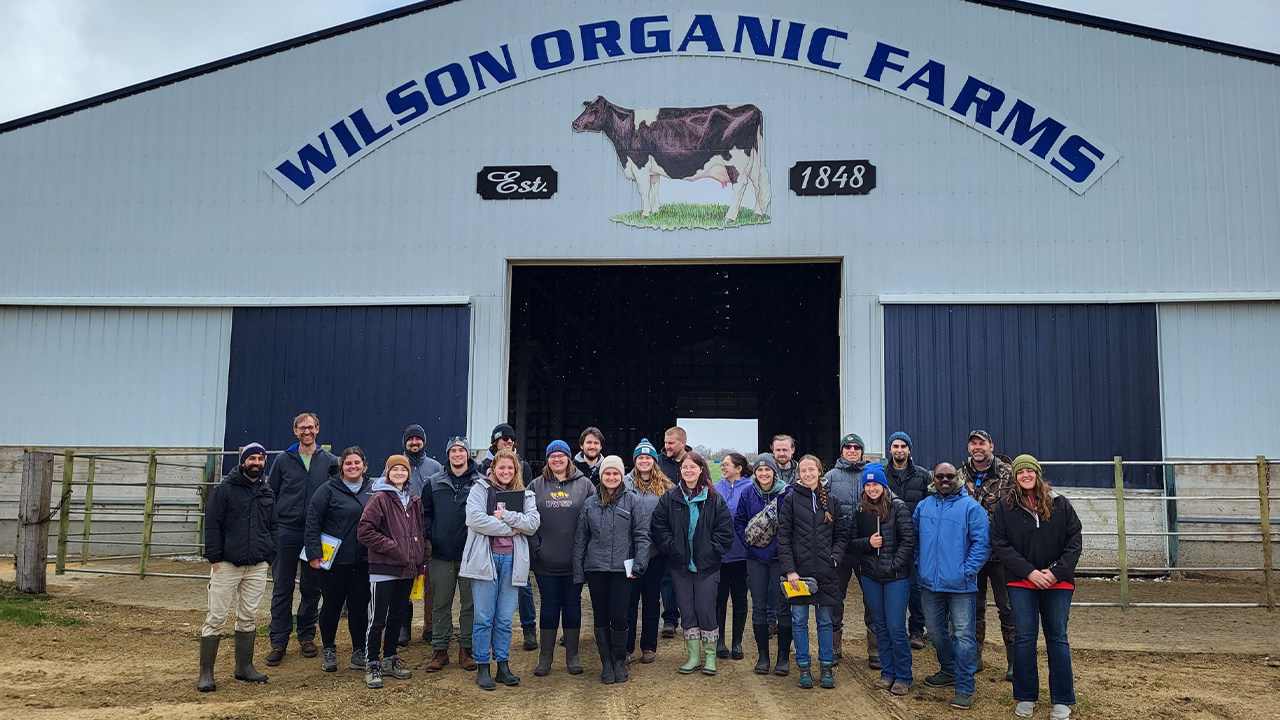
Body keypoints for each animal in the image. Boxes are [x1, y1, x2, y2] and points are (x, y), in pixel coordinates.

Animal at [573, 95, 768, 220]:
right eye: (586, 107)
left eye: (595, 109)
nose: (575, 124)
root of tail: (754, 108)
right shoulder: (652, 167)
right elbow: (654, 188)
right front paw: (656, 211)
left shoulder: (639, 163)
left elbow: (644, 190)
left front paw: (645, 214)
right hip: (753, 162)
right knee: (758, 184)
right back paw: (757, 213)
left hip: (736, 161)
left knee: (740, 186)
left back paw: (730, 217)